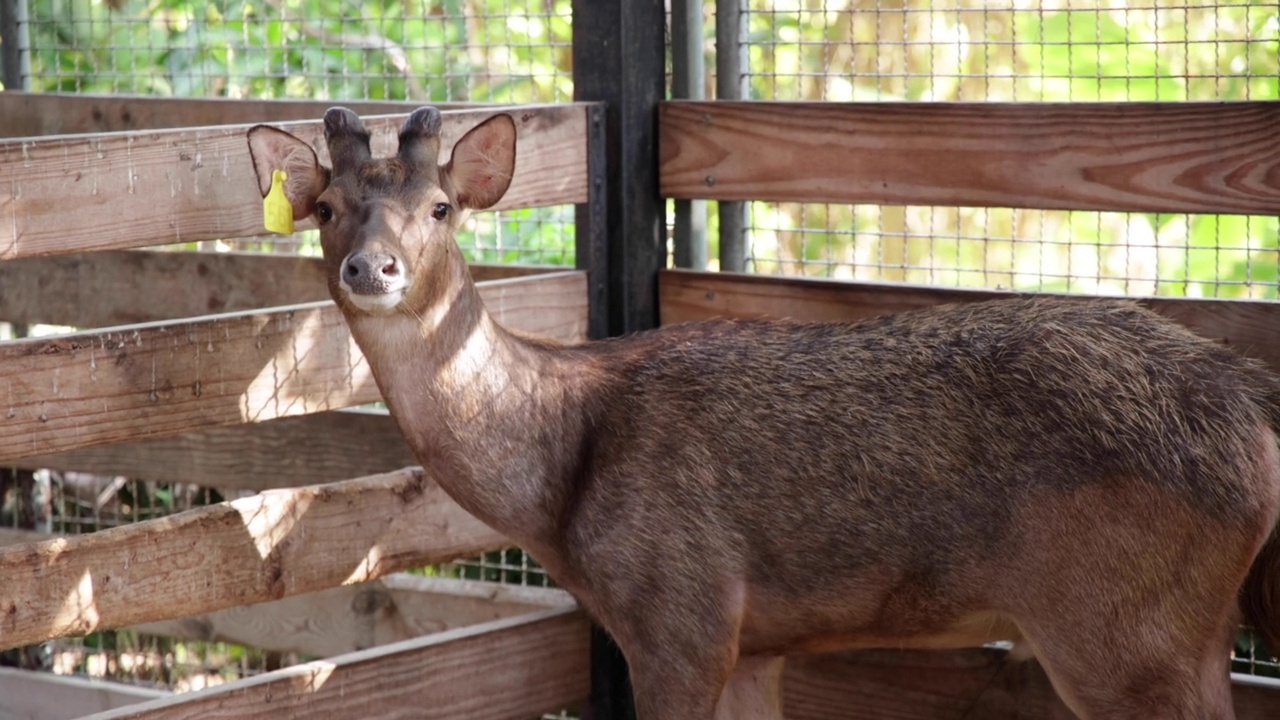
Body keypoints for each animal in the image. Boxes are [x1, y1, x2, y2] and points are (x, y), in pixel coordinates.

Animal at [249, 106, 1280, 717]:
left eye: (440, 207)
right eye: (329, 206)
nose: (372, 267)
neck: (558, 492)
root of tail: (1252, 406)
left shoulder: (681, 615)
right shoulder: (754, 643)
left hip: (1123, 628)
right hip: (1184, 633)